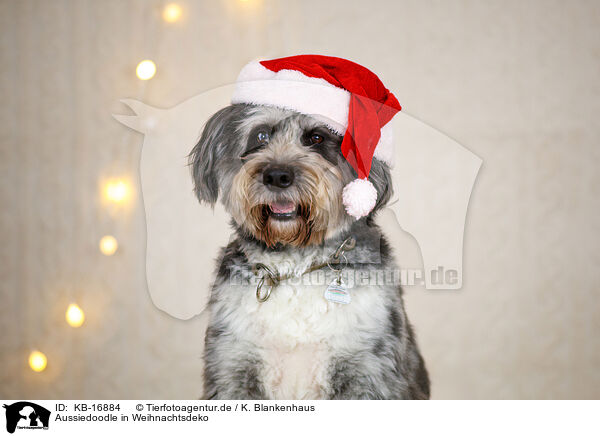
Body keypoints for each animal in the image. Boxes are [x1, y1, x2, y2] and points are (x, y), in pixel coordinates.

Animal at [190, 101, 428, 398]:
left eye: (317, 137)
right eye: (260, 136)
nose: (277, 176)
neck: (296, 265)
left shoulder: (367, 369)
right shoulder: (233, 365)